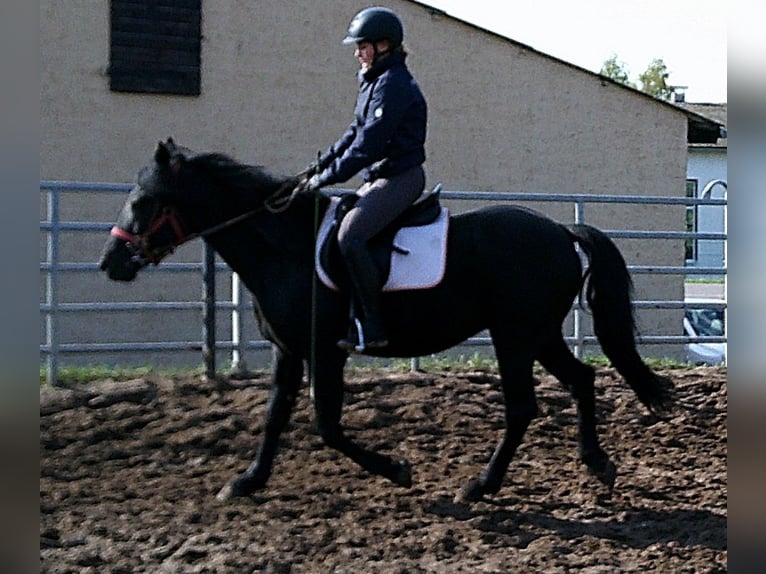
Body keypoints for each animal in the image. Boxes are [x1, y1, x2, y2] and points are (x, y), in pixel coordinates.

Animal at [99, 138, 674, 503]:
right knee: (582, 380)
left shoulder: (324, 351)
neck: (285, 247)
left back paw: (481, 485)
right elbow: (274, 417)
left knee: (522, 408)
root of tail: (558, 230)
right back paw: (596, 463)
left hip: (514, 337)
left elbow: (327, 426)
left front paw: (397, 469)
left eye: (144, 201)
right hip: (538, 334)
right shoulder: (289, 351)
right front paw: (246, 482)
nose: (111, 263)